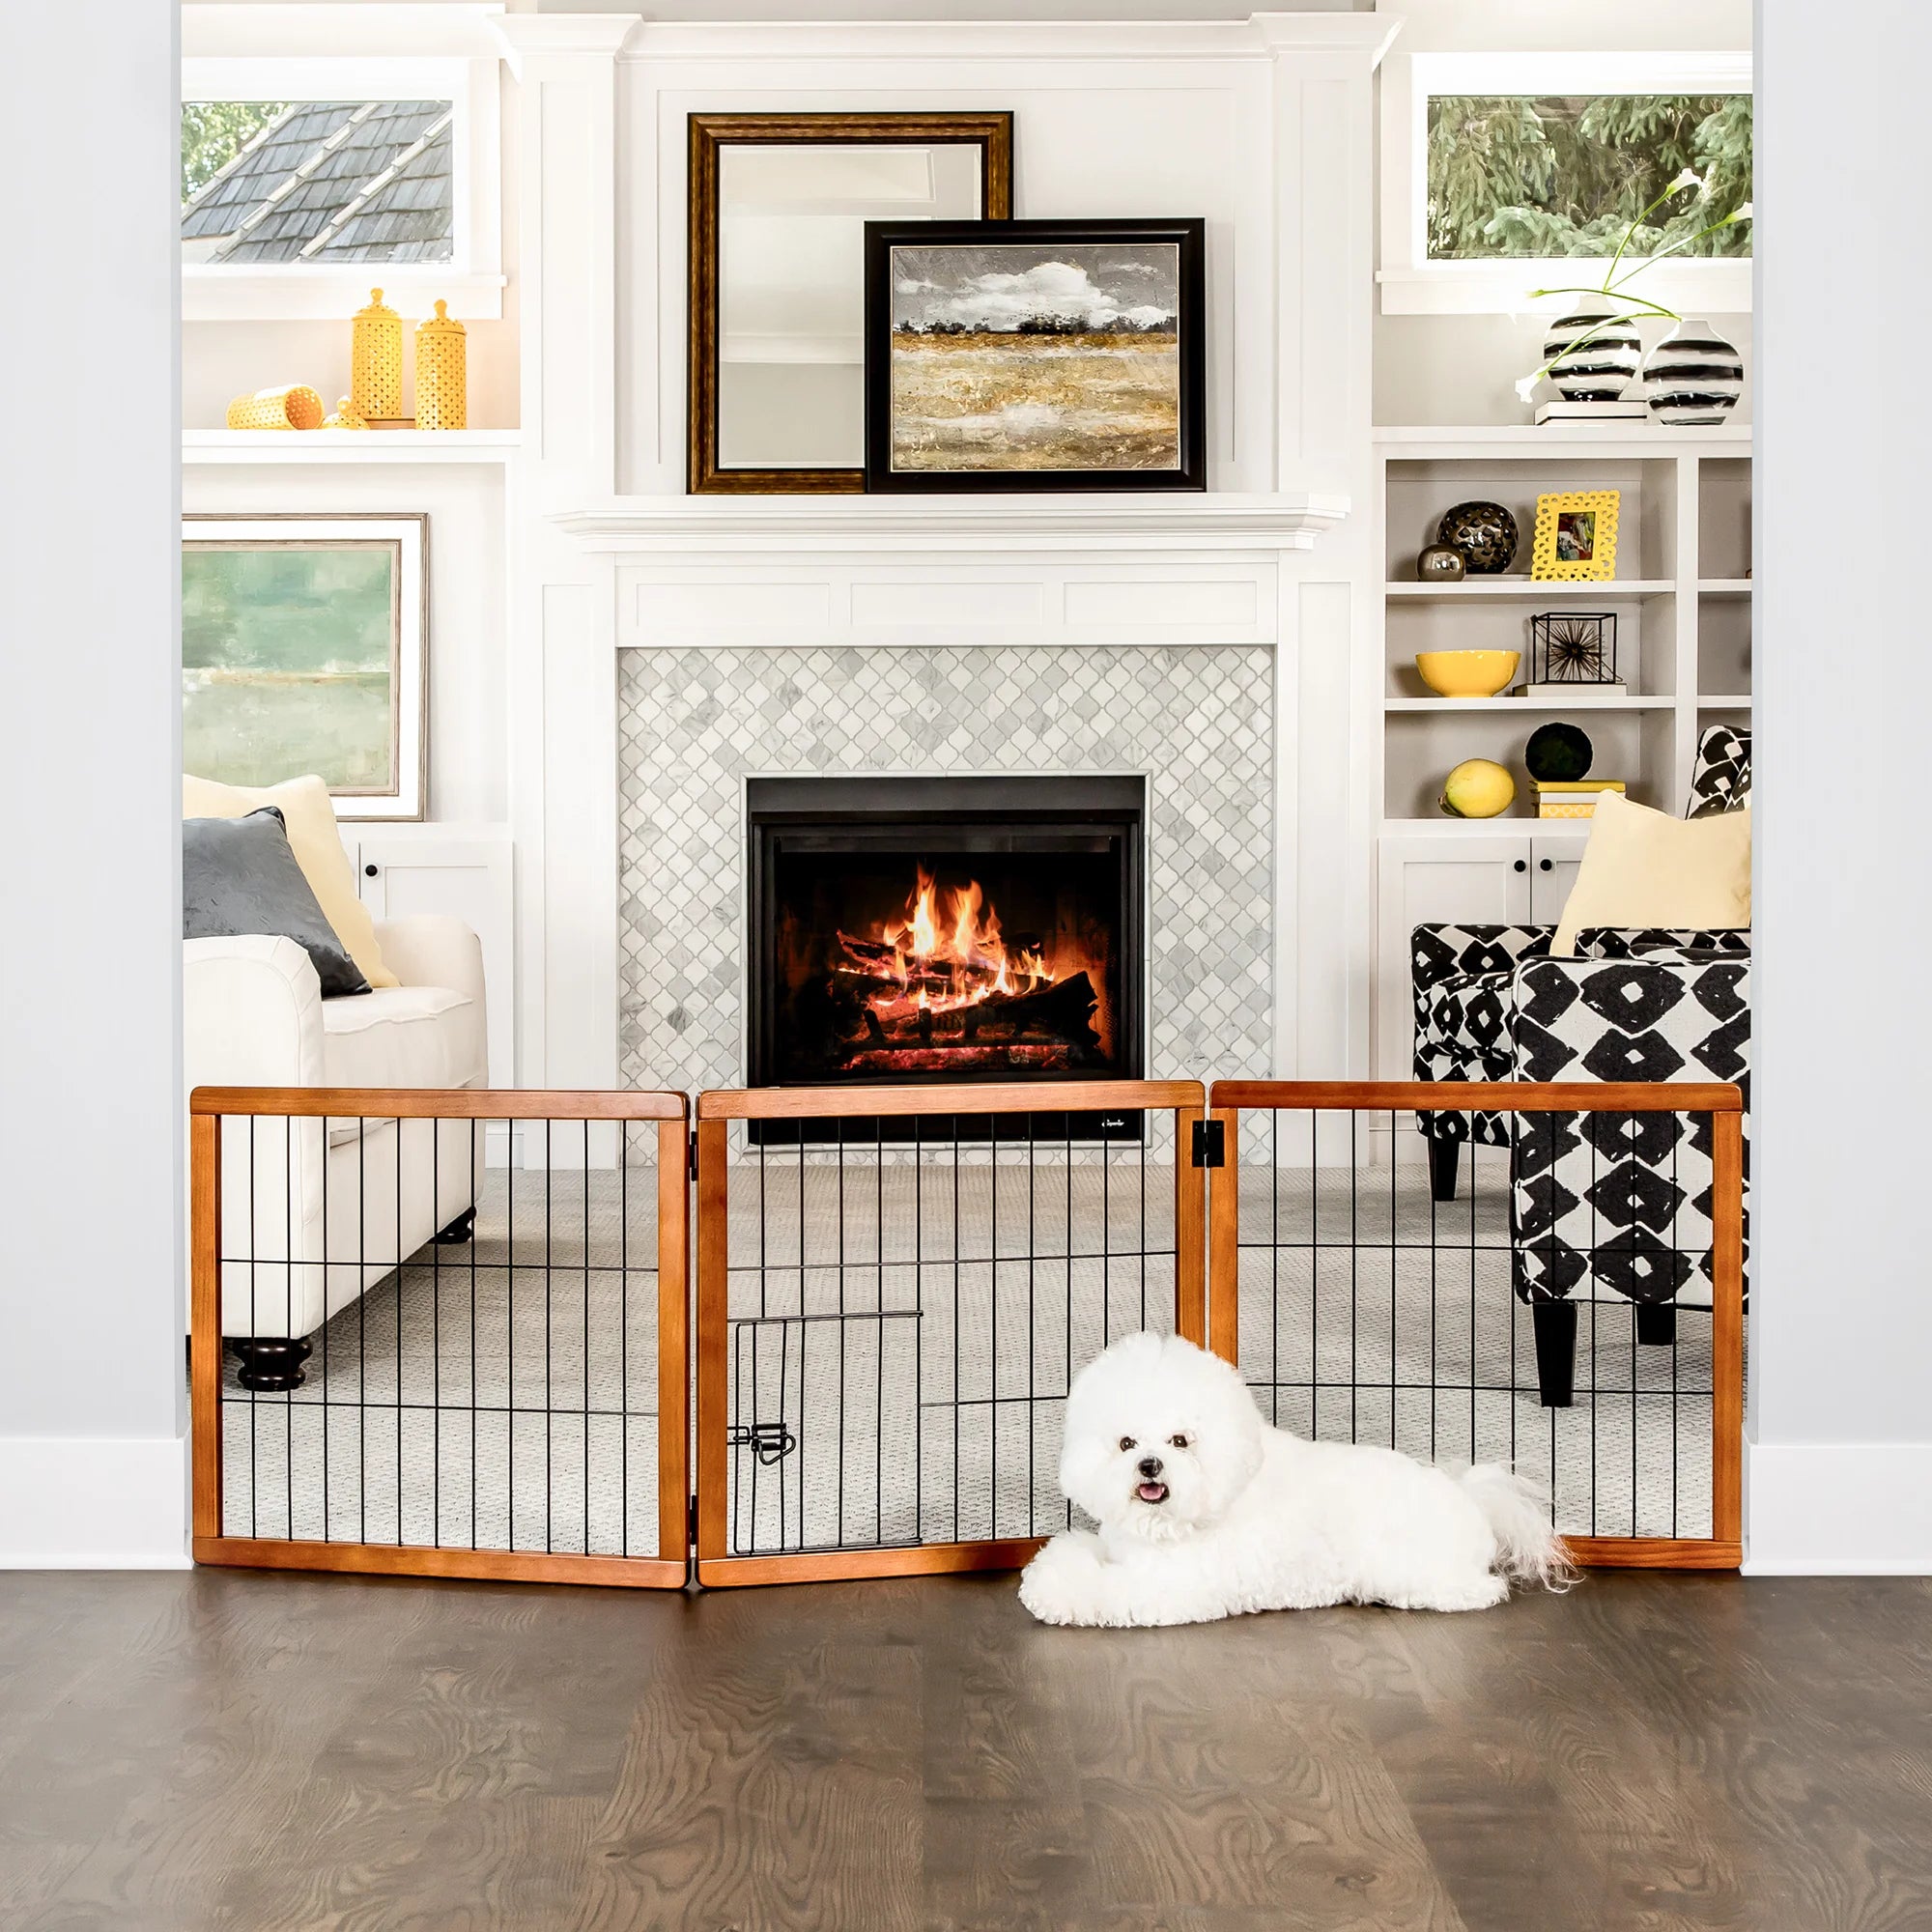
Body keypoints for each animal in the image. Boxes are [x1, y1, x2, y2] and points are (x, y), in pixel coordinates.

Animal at [1012, 1329, 1569, 1631]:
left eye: (1179, 1441)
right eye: (1127, 1443)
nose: (1149, 1466)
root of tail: (1469, 1498)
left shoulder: (1169, 1586)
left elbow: (1099, 1590)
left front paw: (1053, 1593)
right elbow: (1071, 1552)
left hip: (1415, 1567)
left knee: (1482, 1591)